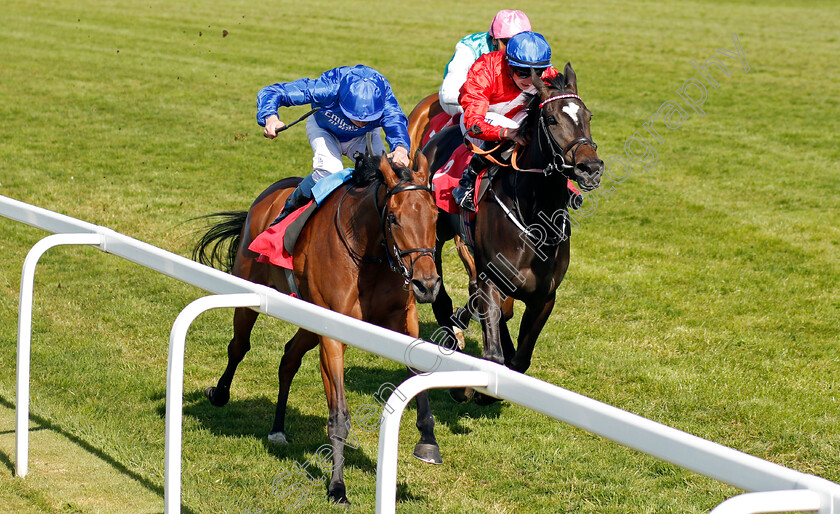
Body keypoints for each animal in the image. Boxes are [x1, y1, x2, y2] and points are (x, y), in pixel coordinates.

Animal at [190, 147, 440, 500]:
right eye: (393, 218)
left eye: (435, 215)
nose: (426, 284)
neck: (369, 254)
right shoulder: (333, 334)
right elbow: (338, 416)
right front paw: (337, 486)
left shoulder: (404, 322)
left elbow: (419, 378)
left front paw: (428, 441)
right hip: (251, 289)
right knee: (239, 345)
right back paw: (221, 393)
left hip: (308, 322)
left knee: (288, 358)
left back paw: (278, 428)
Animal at [424, 62, 600, 402]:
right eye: (551, 119)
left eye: (587, 116)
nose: (591, 168)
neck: (535, 218)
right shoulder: (492, 280)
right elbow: (493, 354)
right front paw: (472, 389)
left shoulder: (544, 296)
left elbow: (519, 360)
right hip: (434, 234)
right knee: (440, 295)